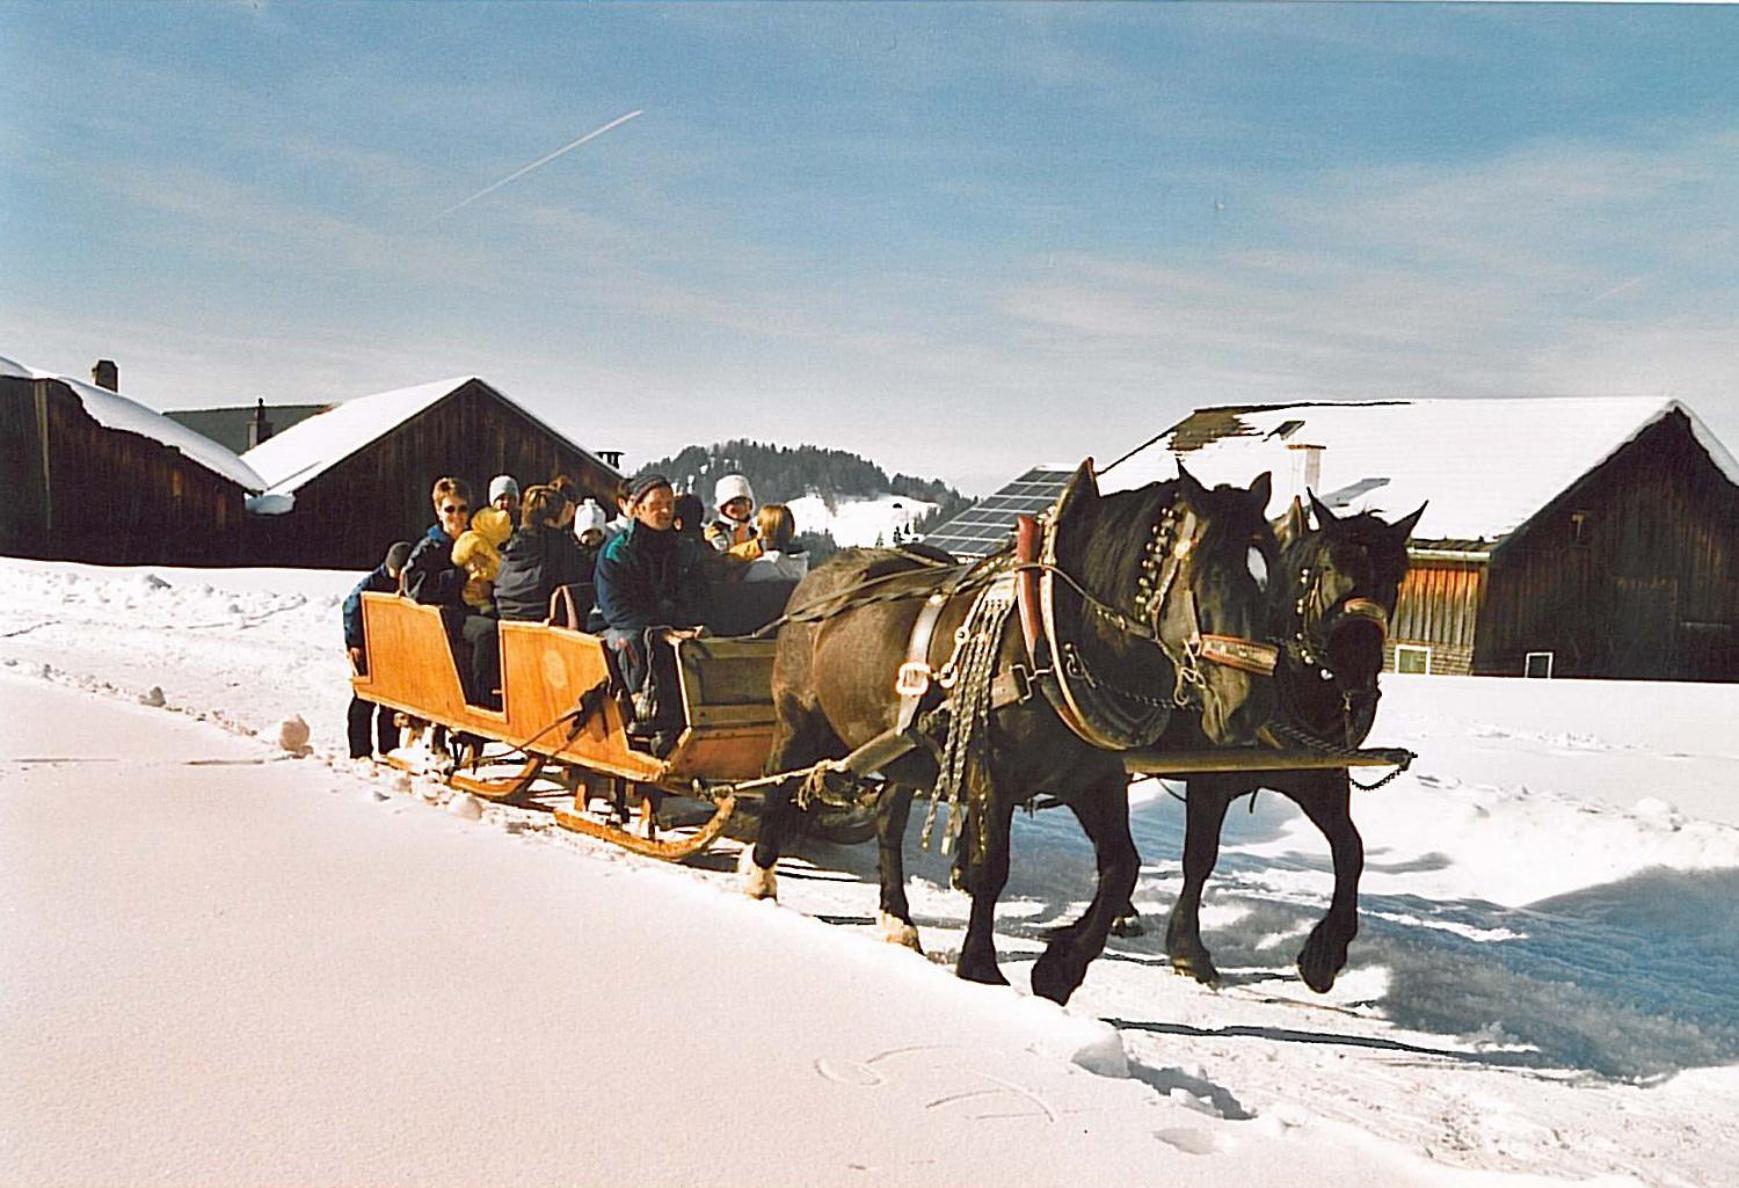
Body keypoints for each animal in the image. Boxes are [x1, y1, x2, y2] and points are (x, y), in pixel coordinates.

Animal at [744, 466, 1279, 1001]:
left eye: (1273, 576)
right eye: (1212, 573)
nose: (1248, 707)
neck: (1054, 634)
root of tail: (820, 579)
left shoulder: (1094, 779)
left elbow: (1121, 867)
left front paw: (1060, 968)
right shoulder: (991, 772)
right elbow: (991, 868)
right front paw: (982, 967)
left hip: (902, 750)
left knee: (886, 822)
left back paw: (897, 920)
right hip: (800, 721)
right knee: (778, 786)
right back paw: (760, 877)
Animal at [1161, 493, 1419, 994]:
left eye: (1396, 574)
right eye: (1327, 565)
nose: (1357, 665)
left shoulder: (1320, 781)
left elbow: (1351, 852)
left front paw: (1325, 954)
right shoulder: (1209, 779)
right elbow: (1200, 857)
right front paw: (1187, 949)